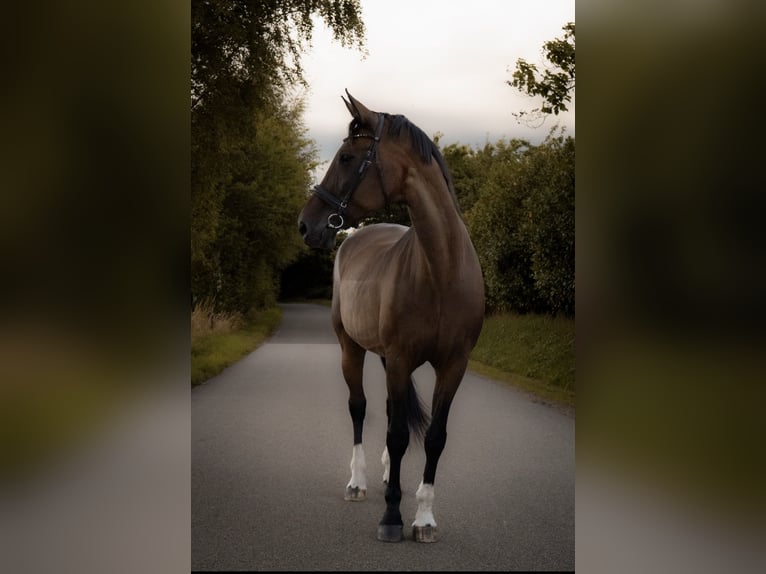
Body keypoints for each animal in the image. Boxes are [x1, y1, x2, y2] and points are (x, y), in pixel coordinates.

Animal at [298, 92, 485, 543]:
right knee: (360, 408)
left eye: (347, 157)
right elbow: (398, 435)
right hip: (351, 348)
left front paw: (424, 519)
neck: (441, 271)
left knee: (384, 410)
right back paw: (358, 482)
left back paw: (384, 477)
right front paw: (392, 516)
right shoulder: (400, 360)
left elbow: (434, 437)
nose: (306, 225)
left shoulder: (453, 365)